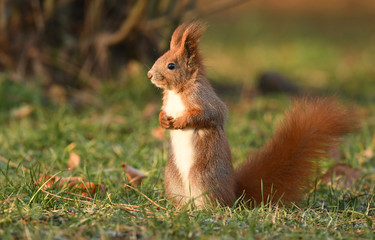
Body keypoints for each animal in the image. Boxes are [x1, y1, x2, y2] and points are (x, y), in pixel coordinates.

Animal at [147, 21, 362, 208]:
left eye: (171, 65)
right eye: (159, 58)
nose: (149, 74)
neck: (178, 91)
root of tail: (234, 195)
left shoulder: (205, 100)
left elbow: (208, 115)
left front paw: (181, 121)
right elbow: (164, 112)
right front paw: (162, 120)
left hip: (202, 176)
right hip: (172, 178)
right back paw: (179, 209)